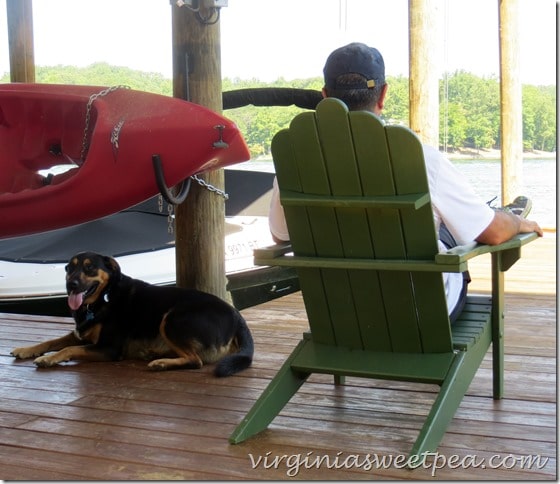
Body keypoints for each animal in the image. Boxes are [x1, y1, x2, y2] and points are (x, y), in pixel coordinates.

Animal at [10, 251, 254, 376]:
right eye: (70, 268)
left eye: (89, 267)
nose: (71, 285)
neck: (103, 296)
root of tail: (237, 317)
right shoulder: (80, 333)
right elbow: (51, 340)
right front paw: (26, 349)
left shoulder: (109, 349)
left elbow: (68, 348)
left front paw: (48, 359)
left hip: (172, 318)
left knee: (196, 361)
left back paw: (161, 363)